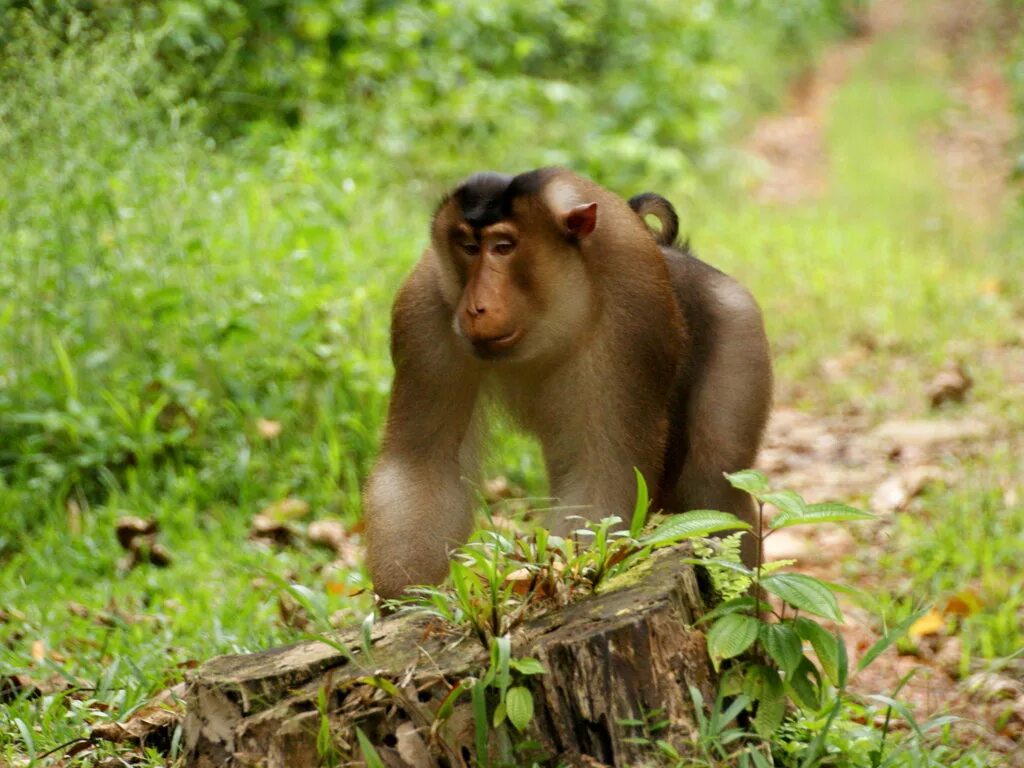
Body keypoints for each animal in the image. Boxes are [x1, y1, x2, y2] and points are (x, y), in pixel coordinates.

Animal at [360, 167, 770, 602]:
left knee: (713, 486)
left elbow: (603, 476)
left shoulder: (631, 313)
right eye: (469, 247)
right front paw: (406, 599)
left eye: (503, 247)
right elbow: (423, 466)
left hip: (739, 328)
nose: (475, 307)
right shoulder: (423, 308)